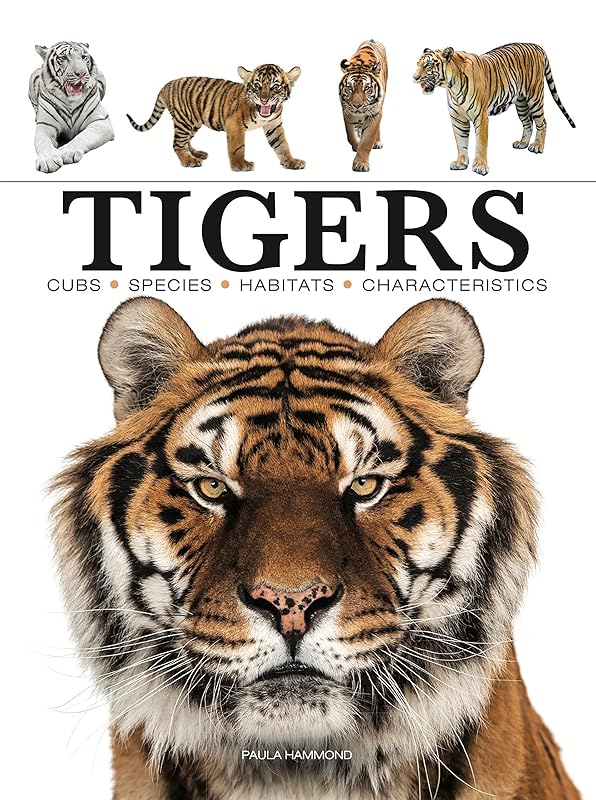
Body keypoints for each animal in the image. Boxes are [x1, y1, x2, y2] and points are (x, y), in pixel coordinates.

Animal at [29, 41, 114, 173]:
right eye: (64, 58)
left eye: (84, 57)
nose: (81, 73)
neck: (70, 100)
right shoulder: (46, 126)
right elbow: (43, 142)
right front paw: (48, 160)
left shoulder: (101, 121)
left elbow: (82, 137)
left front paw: (65, 152)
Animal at [127, 64, 305, 171]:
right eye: (257, 86)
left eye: (275, 87)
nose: (264, 100)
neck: (263, 115)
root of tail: (168, 84)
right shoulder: (235, 125)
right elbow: (237, 147)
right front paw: (240, 165)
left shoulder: (274, 125)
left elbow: (282, 145)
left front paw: (291, 162)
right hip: (184, 121)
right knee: (177, 144)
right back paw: (188, 161)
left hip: (193, 123)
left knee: (185, 141)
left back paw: (196, 154)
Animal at [339, 39, 388, 172]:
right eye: (349, 88)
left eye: (367, 89)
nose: (357, 106)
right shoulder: (348, 112)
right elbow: (351, 135)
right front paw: (356, 146)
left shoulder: (375, 113)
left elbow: (366, 141)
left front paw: (361, 163)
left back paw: (377, 142)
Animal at [413, 43, 575, 176]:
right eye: (417, 64)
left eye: (428, 66)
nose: (414, 78)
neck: (451, 86)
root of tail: (536, 46)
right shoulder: (458, 119)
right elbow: (461, 142)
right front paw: (461, 163)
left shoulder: (481, 116)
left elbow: (481, 143)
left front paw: (480, 167)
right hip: (521, 102)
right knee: (528, 123)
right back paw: (522, 144)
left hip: (534, 97)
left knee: (543, 123)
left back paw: (537, 146)